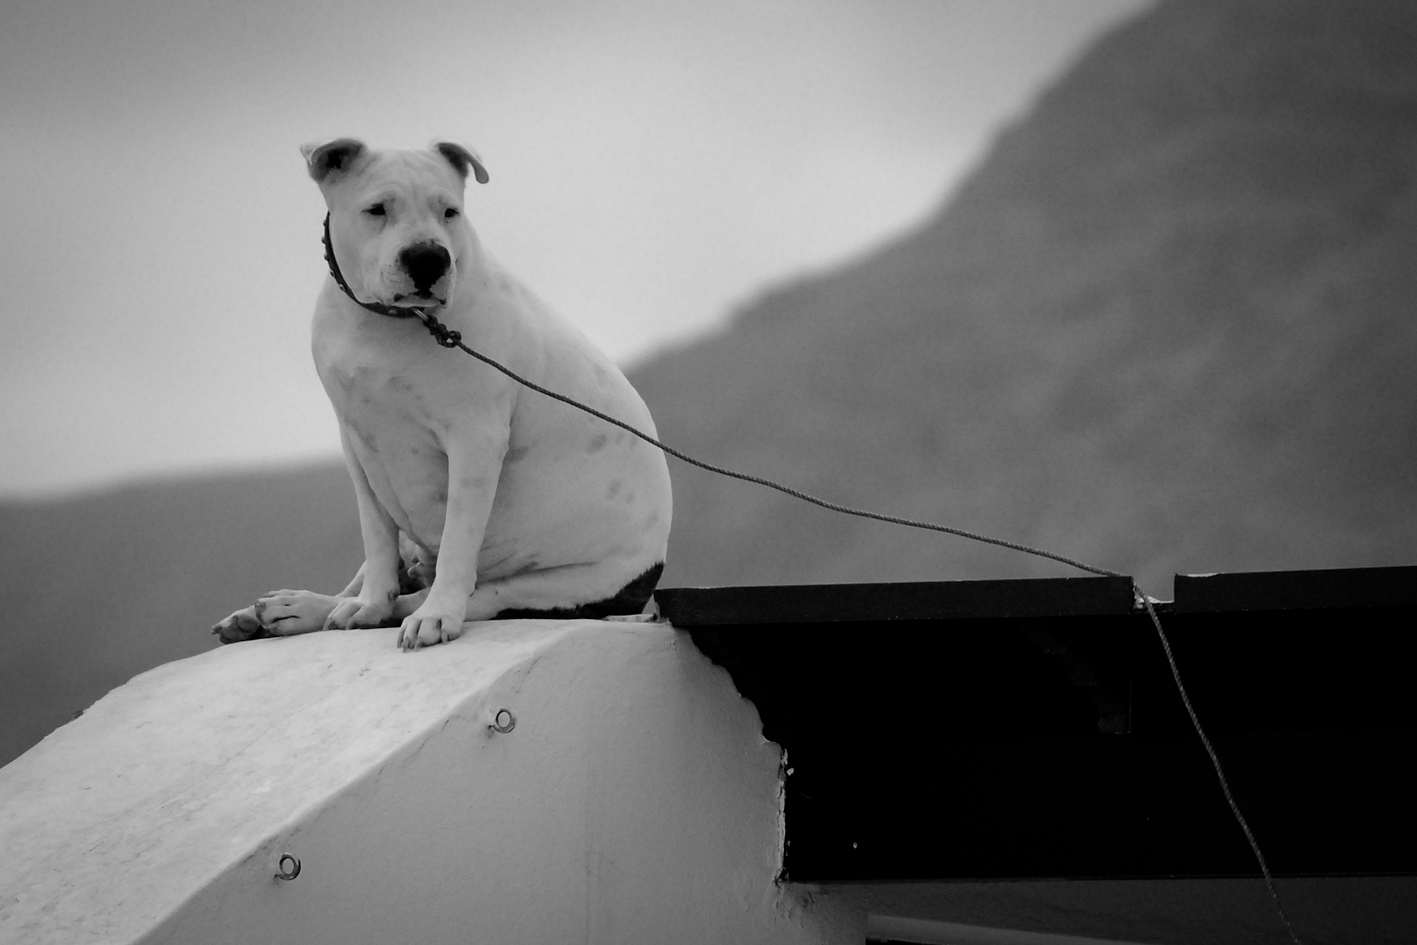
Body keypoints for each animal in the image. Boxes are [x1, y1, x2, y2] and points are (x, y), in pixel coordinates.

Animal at [212, 138, 671, 651]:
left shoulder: (474, 441)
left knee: (461, 592)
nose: (428, 257)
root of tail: (647, 581)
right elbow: (375, 535)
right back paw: (287, 611)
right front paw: (366, 604)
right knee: (385, 573)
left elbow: (456, 541)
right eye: (377, 209)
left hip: (551, 584)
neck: (388, 322)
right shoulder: (356, 441)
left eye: (450, 212)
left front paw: (434, 616)